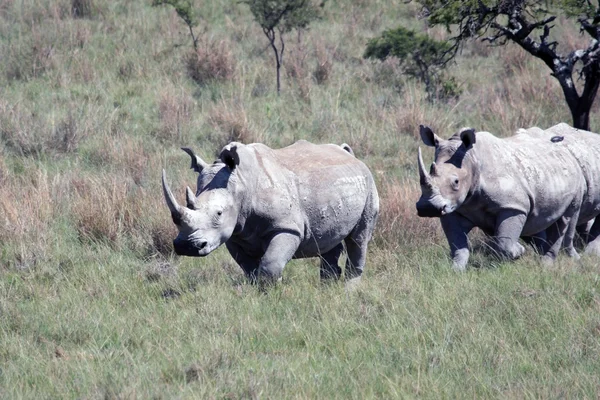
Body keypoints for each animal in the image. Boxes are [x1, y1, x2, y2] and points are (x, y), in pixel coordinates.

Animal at [162, 141, 378, 284]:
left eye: (219, 213)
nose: (186, 246)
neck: (242, 184)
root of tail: (349, 154)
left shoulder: (287, 227)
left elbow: (270, 265)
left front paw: (273, 294)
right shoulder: (234, 233)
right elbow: (249, 269)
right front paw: (258, 293)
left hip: (368, 184)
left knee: (359, 237)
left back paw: (348, 290)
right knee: (329, 238)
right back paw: (327, 287)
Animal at [414, 125, 584, 268]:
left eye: (456, 182)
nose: (428, 207)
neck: (472, 161)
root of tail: (565, 149)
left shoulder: (513, 206)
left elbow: (504, 243)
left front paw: (518, 251)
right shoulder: (454, 208)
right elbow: (458, 246)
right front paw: (456, 270)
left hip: (576, 176)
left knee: (564, 219)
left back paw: (546, 265)